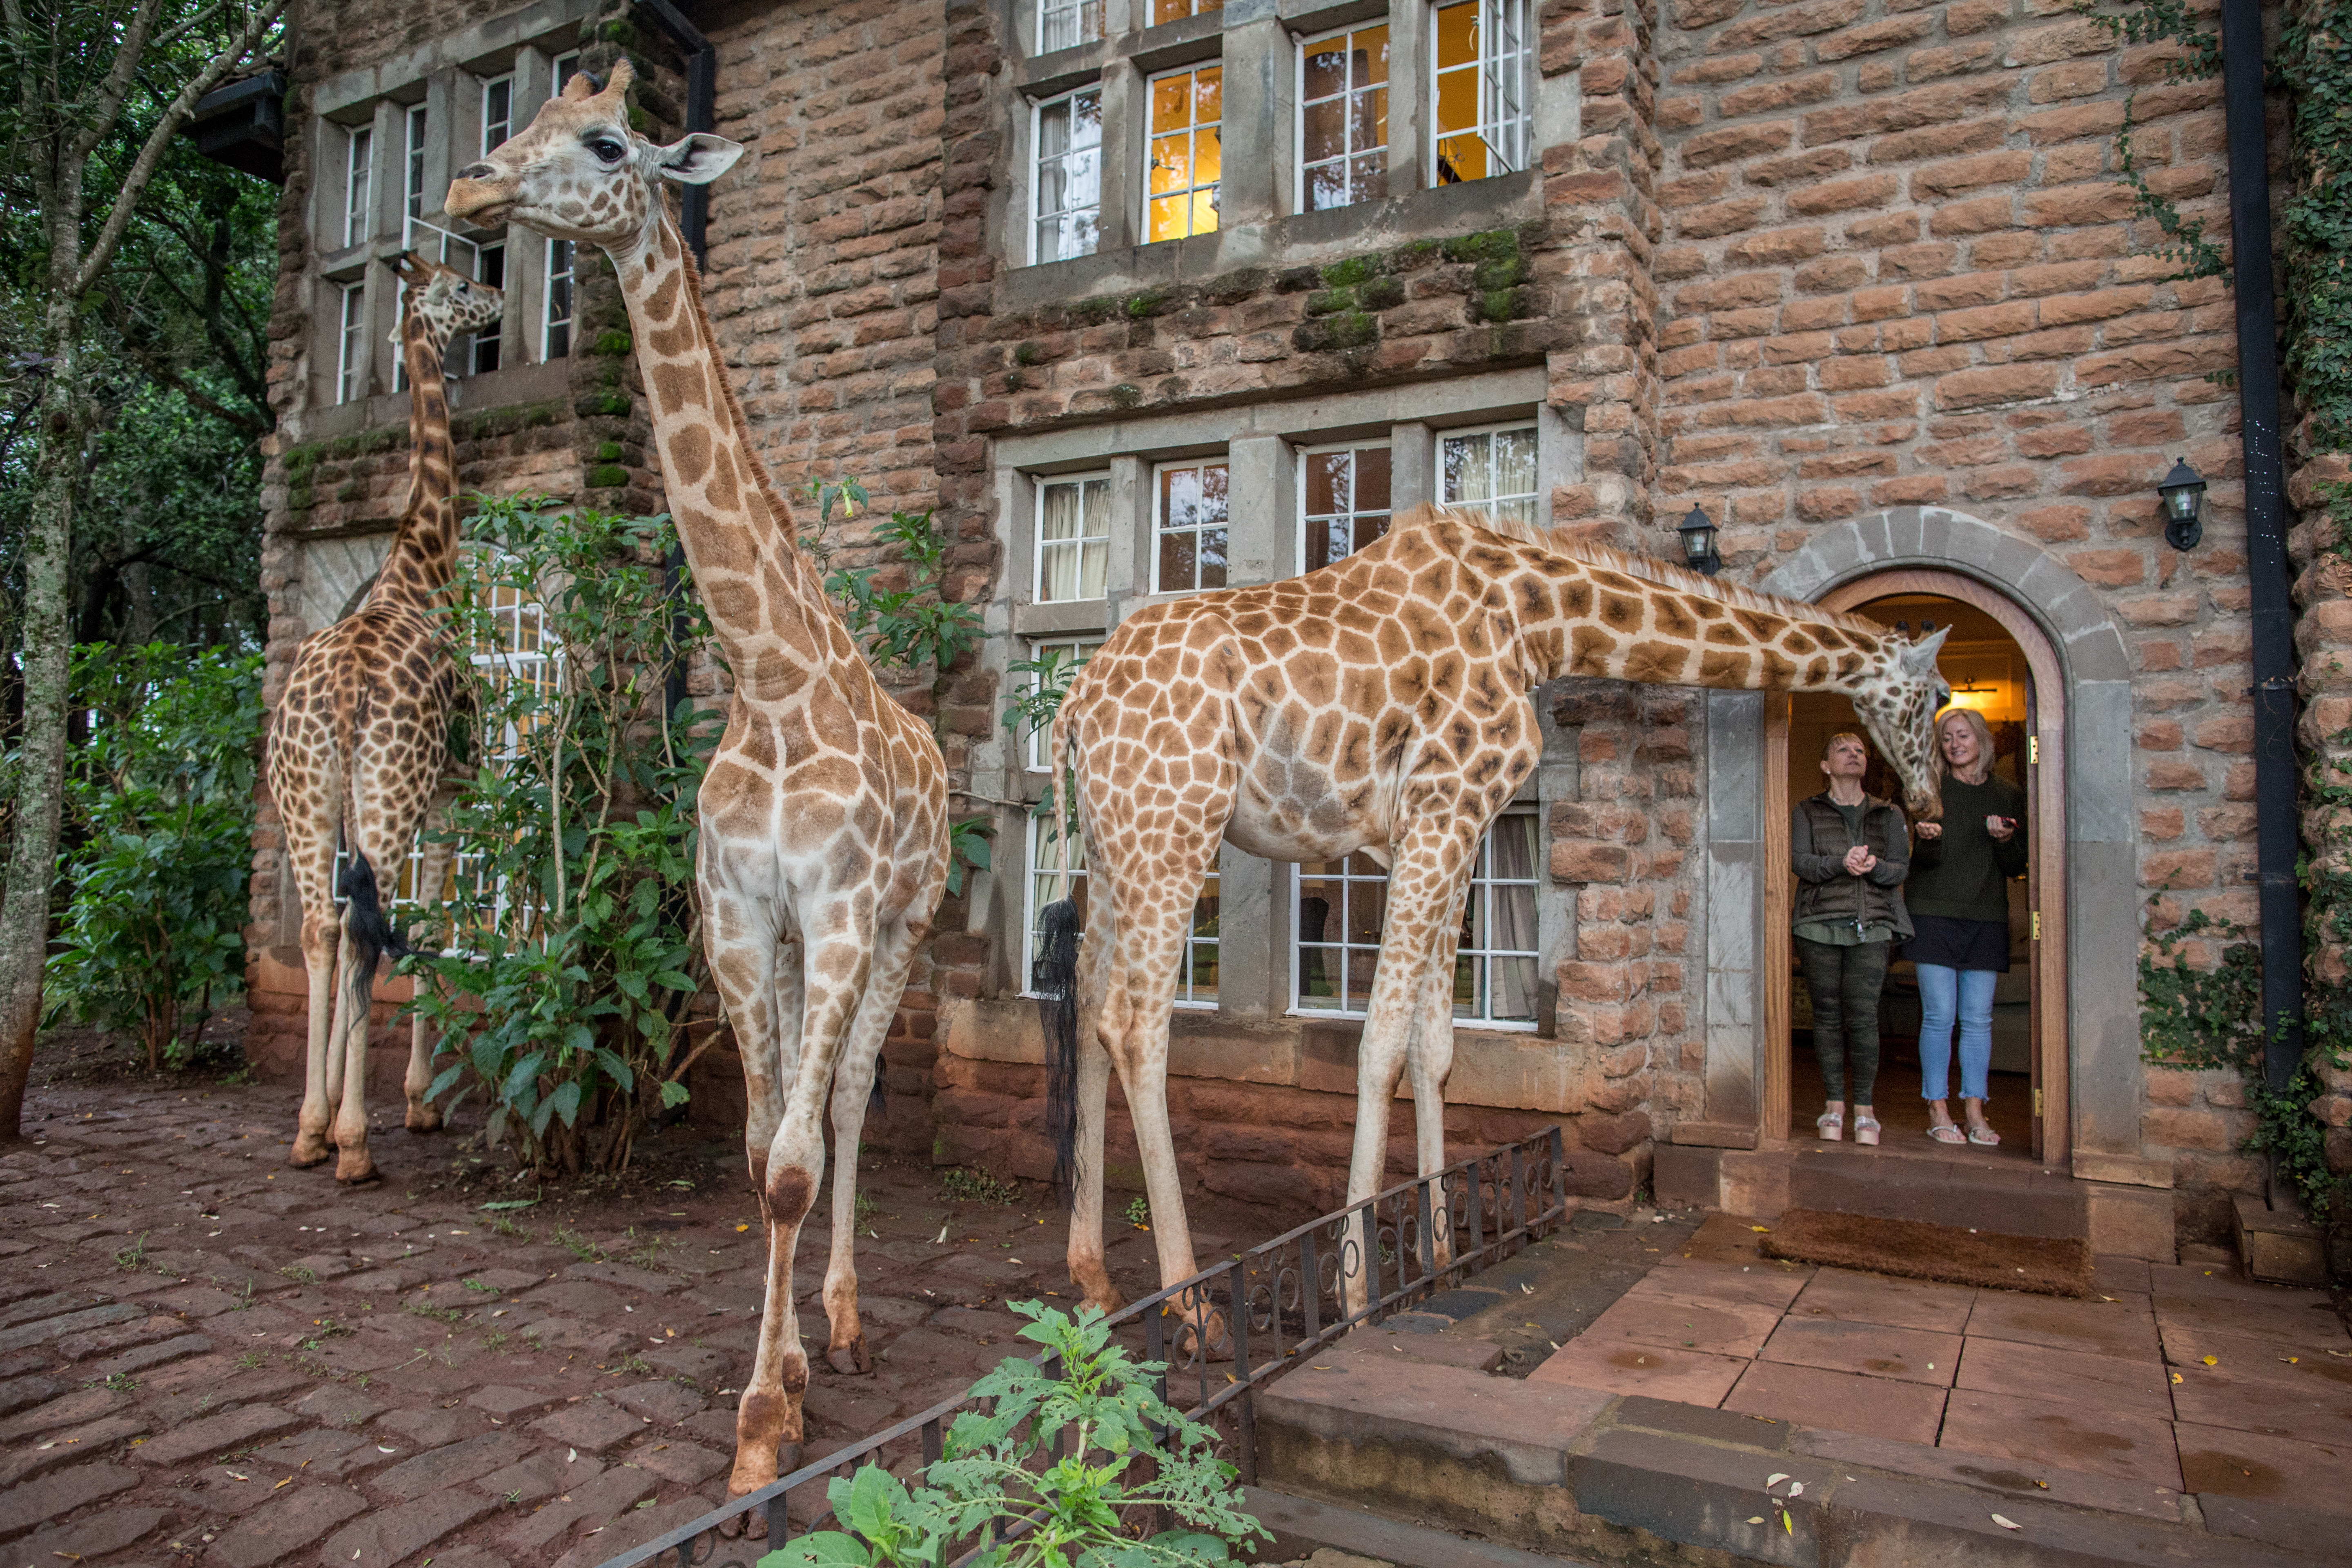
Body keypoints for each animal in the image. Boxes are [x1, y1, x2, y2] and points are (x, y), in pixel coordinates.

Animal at [267, 252, 503, 1185]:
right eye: (461, 288)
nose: (500, 299)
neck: (421, 560)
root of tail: (339, 692)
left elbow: (353, 926)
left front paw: (342, 1103)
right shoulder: (451, 792)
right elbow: (430, 918)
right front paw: (414, 1103)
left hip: (305, 796)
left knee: (326, 928)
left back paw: (311, 1130)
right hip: (388, 790)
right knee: (366, 933)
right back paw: (356, 1144)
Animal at [444, 61, 951, 1498]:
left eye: (610, 142)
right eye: (523, 123)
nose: (468, 189)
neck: (769, 677)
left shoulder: (839, 912)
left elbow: (792, 1159)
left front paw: (765, 1421)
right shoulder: (736, 918)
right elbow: (753, 1147)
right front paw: (772, 1382)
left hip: (905, 926)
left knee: (850, 1104)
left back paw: (847, 1317)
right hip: (789, 945)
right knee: (807, 1108)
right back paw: (813, 1333)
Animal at [1038, 502, 1951, 1317]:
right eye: (1934, 696)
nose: (1931, 803)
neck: (1536, 621)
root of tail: (1074, 711)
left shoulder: (1459, 826)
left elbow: (1436, 1048)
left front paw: (1443, 1254)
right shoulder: (1443, 808)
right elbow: (1379, 1048)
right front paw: (1357, 1291)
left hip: (1116, 846)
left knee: (1086, 1003)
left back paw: (1093, 1281)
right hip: (1177, 828)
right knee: (1136, 1027)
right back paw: (1193, 1308)